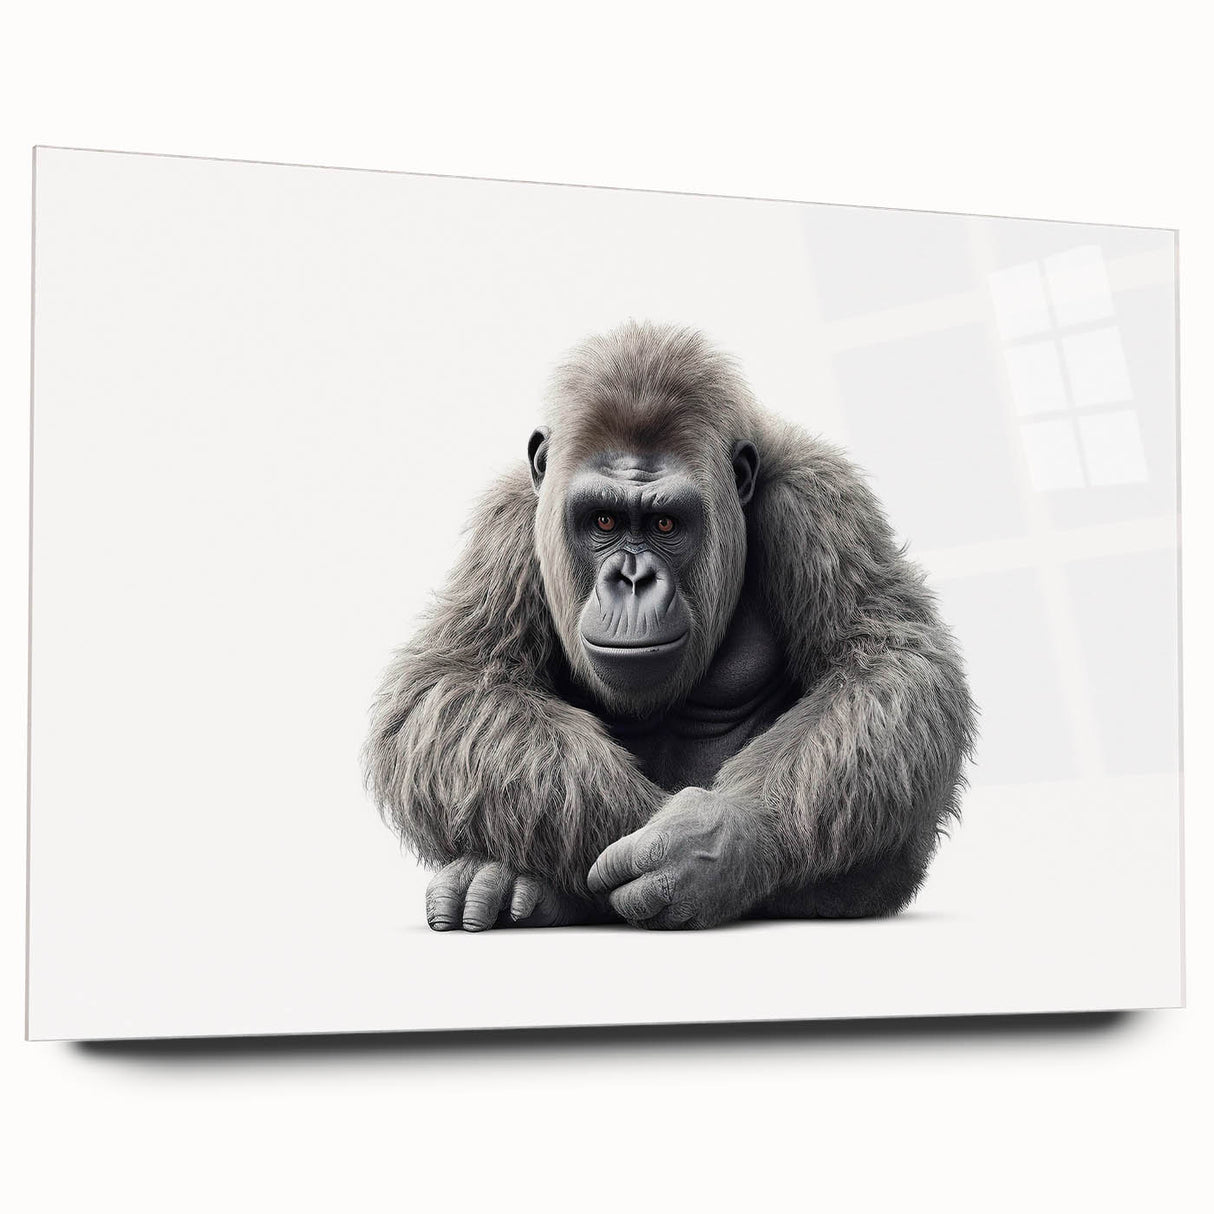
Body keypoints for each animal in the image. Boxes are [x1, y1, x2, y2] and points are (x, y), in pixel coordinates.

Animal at [364, 321, 976, 931]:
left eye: (665, 523)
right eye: (603, 520)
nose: (633, 578)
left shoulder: (817, 497)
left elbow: (885, 664)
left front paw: (714, 842)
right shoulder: (511, 519)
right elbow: (455, 683)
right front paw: (639, 835)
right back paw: (507, 882)